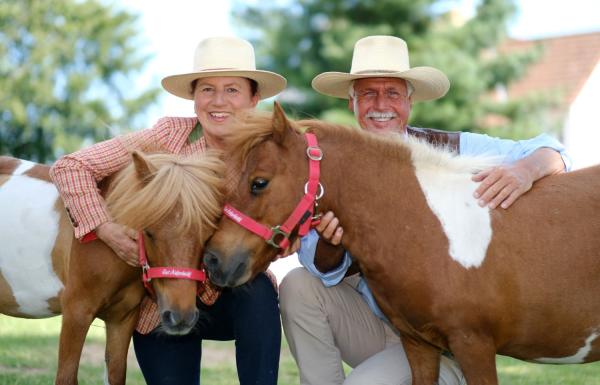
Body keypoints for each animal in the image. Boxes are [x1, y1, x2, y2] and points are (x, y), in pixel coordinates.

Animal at [0, 151, 225, 384]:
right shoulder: (76, 314)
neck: (107, 246)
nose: (181, 317)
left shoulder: (122, 320)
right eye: (149, 232)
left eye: (207, 236)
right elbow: (66, 376)